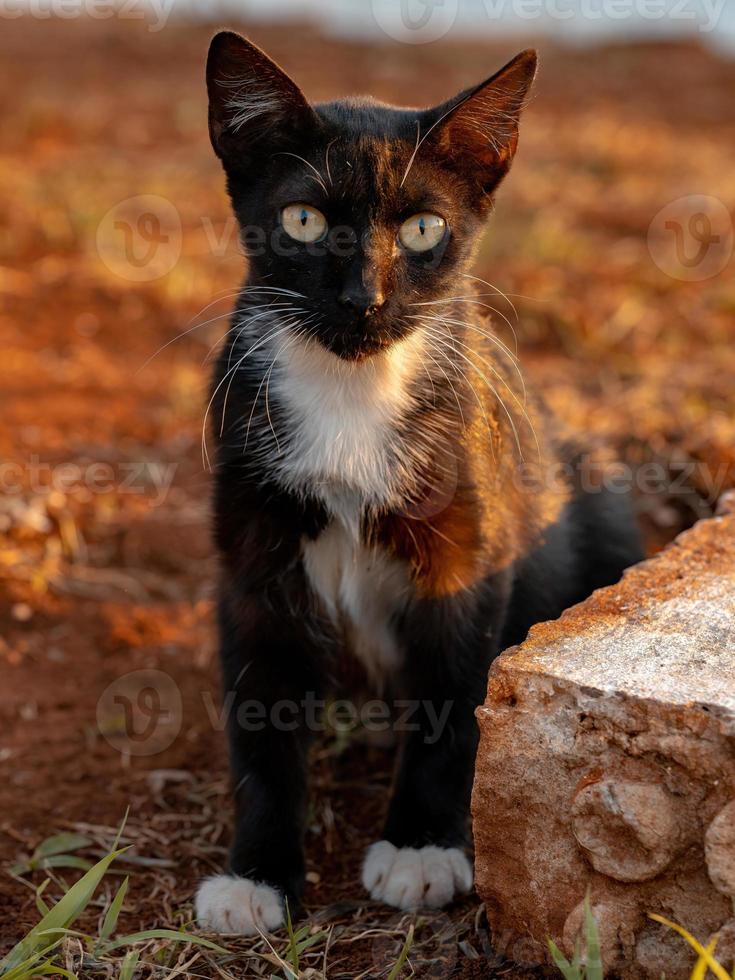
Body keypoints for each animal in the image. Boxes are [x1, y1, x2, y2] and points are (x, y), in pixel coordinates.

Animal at [196, 30, 644, 936]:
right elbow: (259, 716)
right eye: (303, 219)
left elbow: (451, 697)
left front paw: (422, 848)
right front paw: (255, 873)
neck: (350, 388)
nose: (362, 299)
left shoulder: (466, 553)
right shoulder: (251, 556)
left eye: (423, 228)